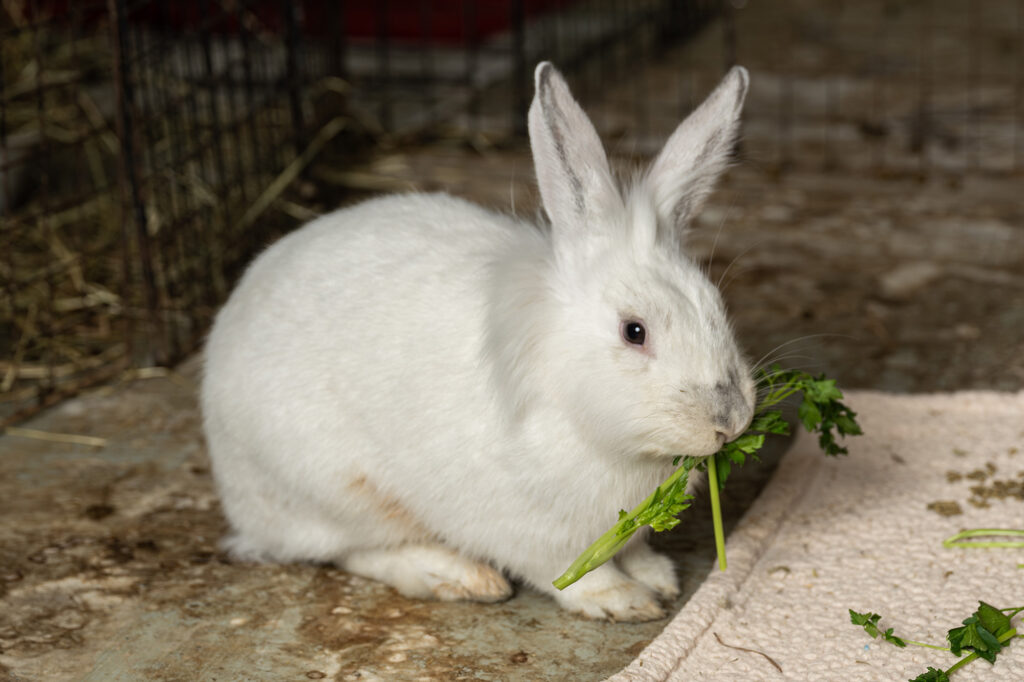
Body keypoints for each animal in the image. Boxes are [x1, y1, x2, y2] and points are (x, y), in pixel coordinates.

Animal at [200, 62, 755, 622]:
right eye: (634, 331)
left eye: (715, 305)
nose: (730, 421)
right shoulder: (536, 532)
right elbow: (573, 574)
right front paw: (626, 601)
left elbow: (635, 550)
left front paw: (658, 578)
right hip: (338, 494)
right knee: (355, 551)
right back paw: (462, 578)